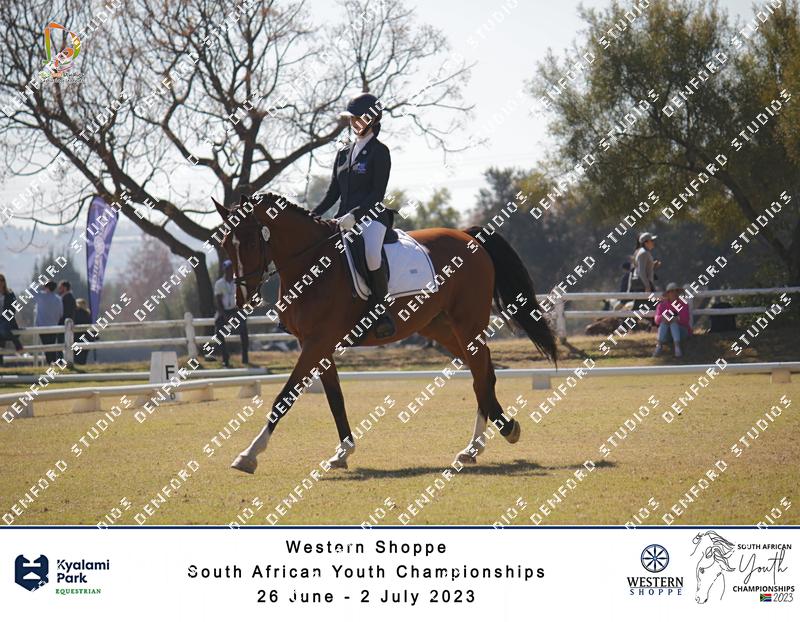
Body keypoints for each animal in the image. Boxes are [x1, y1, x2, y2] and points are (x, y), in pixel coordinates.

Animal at [212, 192, 557, 474]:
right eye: (225, 244)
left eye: (251, 242)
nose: (243, 298)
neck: (311, 263)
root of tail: (469, 236)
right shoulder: (317, 345)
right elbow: (334, 398)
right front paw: (342, 452)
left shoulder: (316, 342)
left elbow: (284, 397)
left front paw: (248, 455)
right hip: (441, 327)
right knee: (481, 369)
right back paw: (489, 438)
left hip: (466, 323)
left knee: (480, 372)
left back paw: (484, 441)